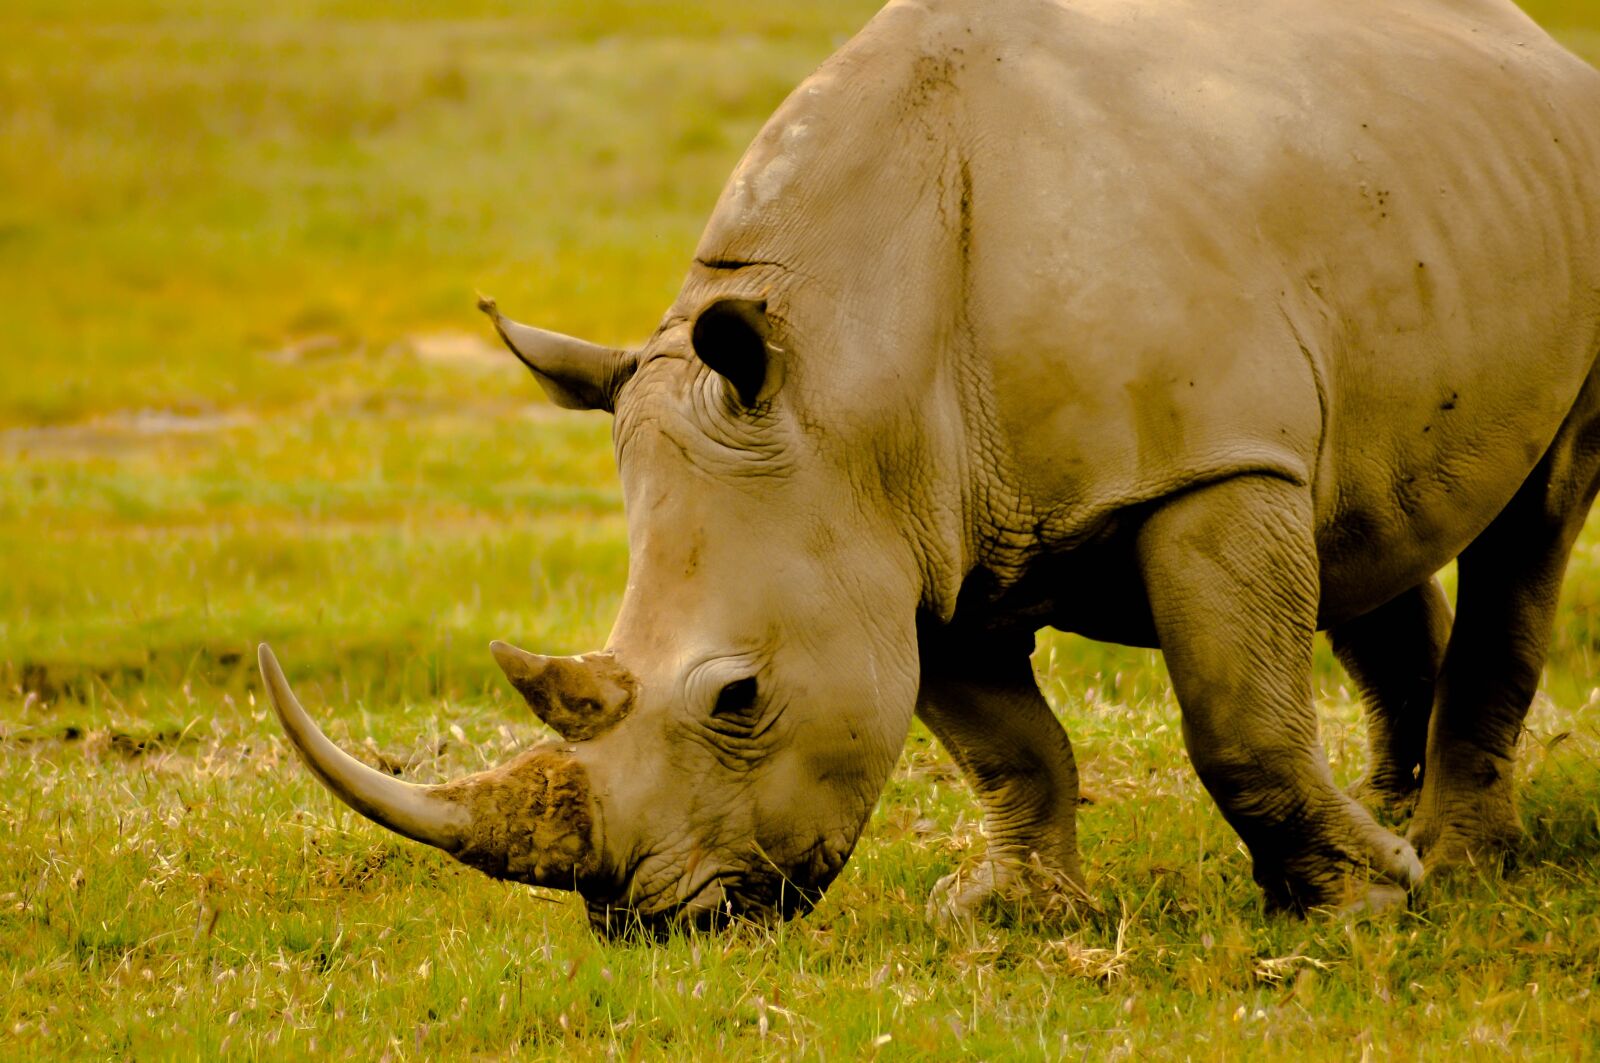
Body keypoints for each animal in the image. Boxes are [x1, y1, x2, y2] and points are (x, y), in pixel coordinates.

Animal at [258, 0, 1600, 932]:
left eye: (738, 697)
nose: (651, 921)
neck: (842, 366)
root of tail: (1537, 47)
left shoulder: (1206, 469)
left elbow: (1236, 719)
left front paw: (1353, 913)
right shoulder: (911, 535)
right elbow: (1007, 744)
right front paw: (1008, 915)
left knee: (1529, 526)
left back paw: (1458, 860)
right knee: (1364, 523)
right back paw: (1395, 819)